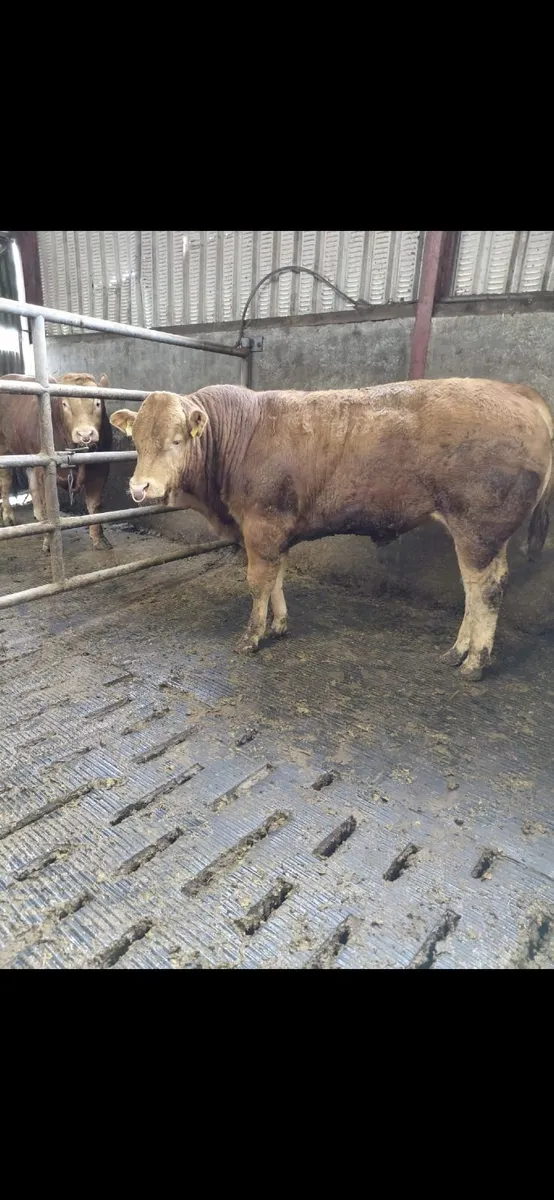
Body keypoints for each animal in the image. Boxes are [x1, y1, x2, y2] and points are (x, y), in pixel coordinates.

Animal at [0, 372, 113, 551]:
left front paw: (99, 538)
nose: (85, 434)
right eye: (64, 404)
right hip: (4, 448)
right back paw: (8, 516)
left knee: (32, 485)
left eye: (97, 403)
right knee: (5, 482)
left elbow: (94, 505)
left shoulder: (101, 467)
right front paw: (48, 541)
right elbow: (48, 508)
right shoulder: (44, 471)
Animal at [110, 379, 553, 681]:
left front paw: (252, 637)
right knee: (478, 588)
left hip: (478, 528)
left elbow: (258, 581)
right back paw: (459, 650)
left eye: (177, 439)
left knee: (485, 590)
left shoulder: (261, 524)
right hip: (486, 535)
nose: (140, 488)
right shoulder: (277, 529)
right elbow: (277, 578)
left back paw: (474, 662)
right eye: (136, 441)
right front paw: (279, 625)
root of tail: (518, 391)